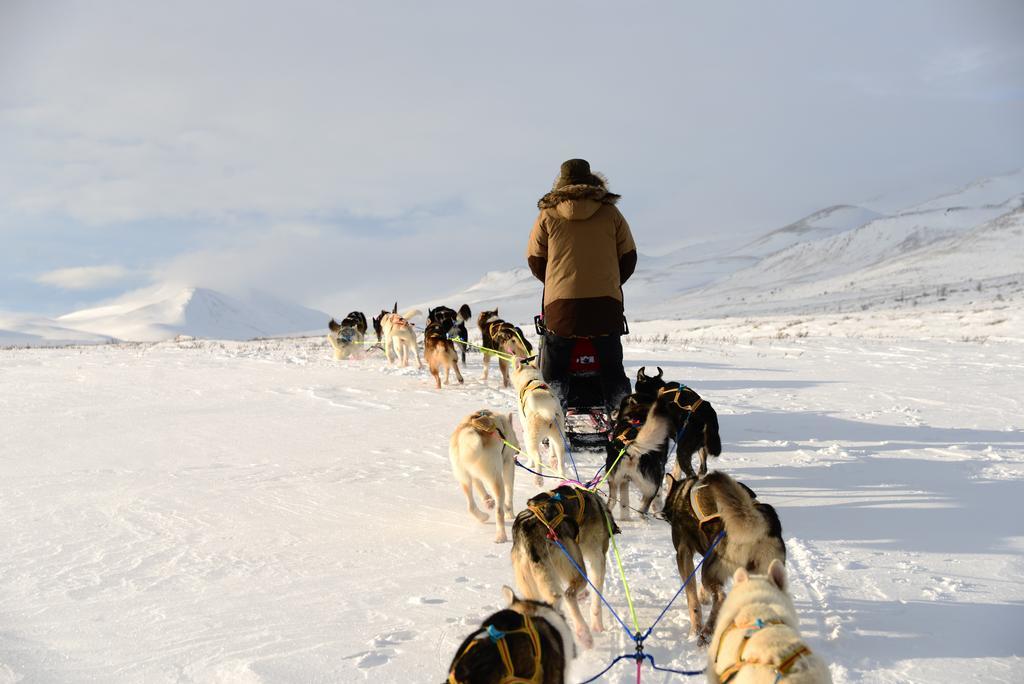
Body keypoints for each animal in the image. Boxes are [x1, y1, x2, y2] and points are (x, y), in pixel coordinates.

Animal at [448, 409, 520, 540]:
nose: (519, 448)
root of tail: (471, 428)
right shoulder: (508, 463)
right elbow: (509, 494)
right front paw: (510, 513)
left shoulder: (474, 472)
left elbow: (480, 487)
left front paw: (488, 500)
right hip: (496, 479)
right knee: (499, 511)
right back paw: (501, 536)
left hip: (464, 478)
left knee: (471, 507)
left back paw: (483, 516)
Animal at [509, 483, 614, 651]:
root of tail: (526, 528)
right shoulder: (597, 558)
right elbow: (596, 598)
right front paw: (597, 624)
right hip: (575, 567)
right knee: (568, 595)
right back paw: (584, 634)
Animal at [659, 473, 786, 643]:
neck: (681, 493)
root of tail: (757, 519)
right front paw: (704, 598)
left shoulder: (683, 552)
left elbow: (692, 599)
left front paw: (694, 630)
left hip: (710, 570)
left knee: (720, 597)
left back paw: (706, 633)